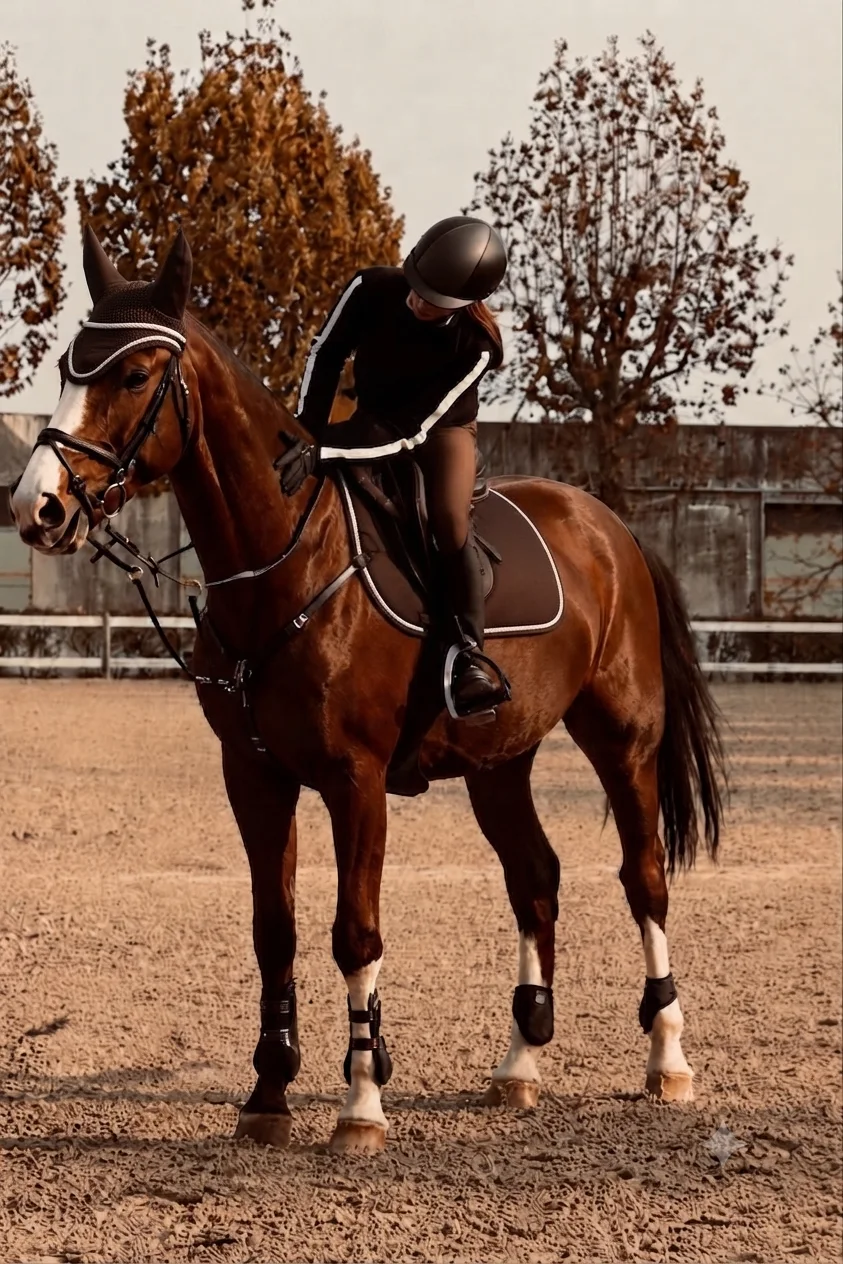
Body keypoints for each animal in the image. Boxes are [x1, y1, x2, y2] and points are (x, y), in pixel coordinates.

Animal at [10, 227, 726, 1154]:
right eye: (69, 365)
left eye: (134, 376)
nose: (37, 508)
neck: (281, 566)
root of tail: (608, 525)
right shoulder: (255, 776)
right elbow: (272, 931)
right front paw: (268, 1095)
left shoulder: (357, 781)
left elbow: (355, 934)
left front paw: (360, 1101)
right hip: (499, 762)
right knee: (534, 877)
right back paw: (519, 1065)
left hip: (621, 738)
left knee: (644, 878)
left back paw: (666, 1060)